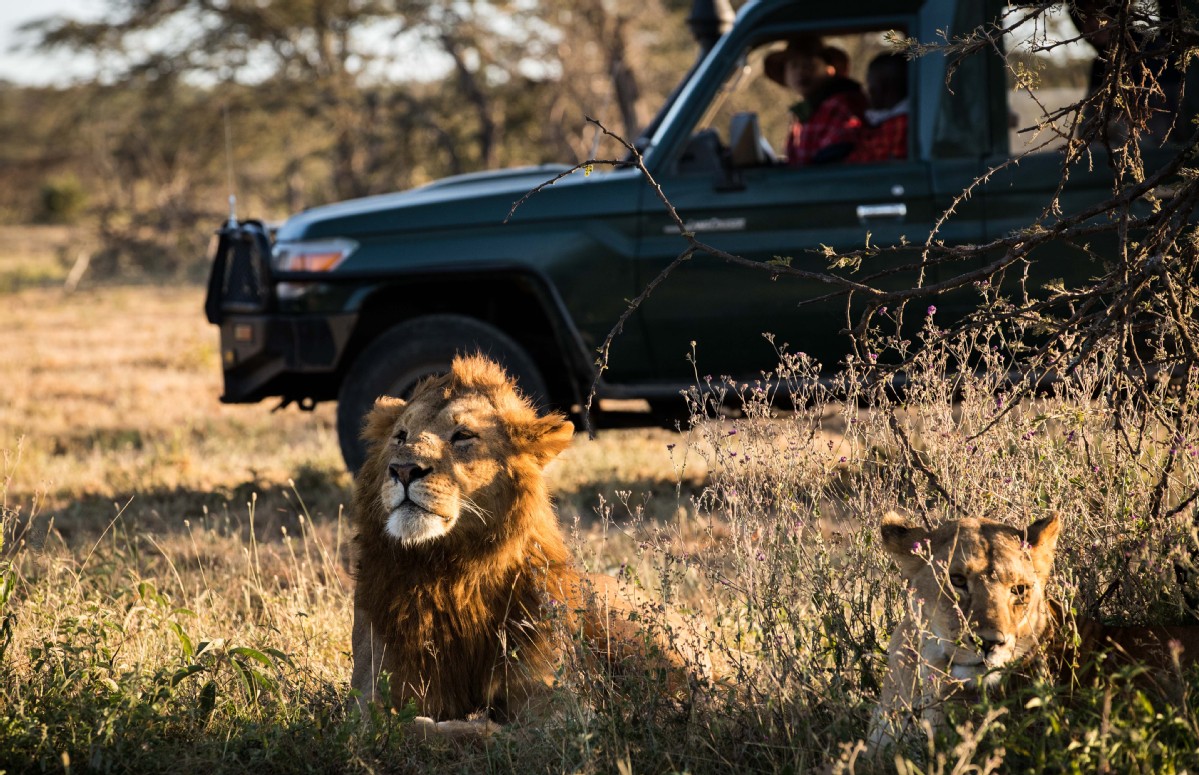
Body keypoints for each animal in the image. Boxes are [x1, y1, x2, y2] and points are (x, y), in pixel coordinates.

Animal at [350, 355, 695, 734]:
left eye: (463, 435)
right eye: (400, 436)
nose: (403, 470)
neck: (450, 573)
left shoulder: (561, 701)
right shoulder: (370, 694)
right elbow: (410, 727)